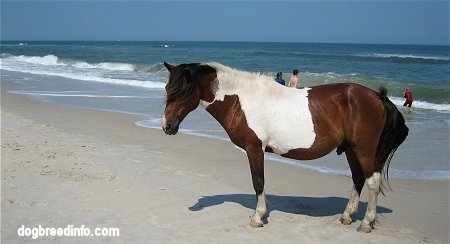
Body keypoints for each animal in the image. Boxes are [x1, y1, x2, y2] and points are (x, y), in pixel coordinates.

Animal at [162, 61, 408, 233]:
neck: (241, 99)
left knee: (372, 182)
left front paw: (258, 217)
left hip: (364, 150)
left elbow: (258, 181)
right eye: (167, 89)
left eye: (183, 91)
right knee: (358, 179)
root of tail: (377, 96)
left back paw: (366, 223)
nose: (167, 126)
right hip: (350, 149)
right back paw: (347, 216)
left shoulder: (254, 148)